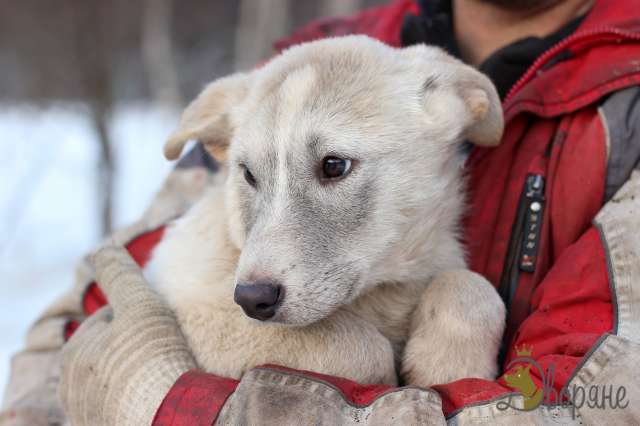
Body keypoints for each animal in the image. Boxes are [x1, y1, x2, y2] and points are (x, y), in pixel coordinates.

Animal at [144, 35, 504, 388]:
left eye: (334, 165)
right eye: (248, 175)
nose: (252, 298)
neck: (381, 294)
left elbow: (471, 285)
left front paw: (450, 365)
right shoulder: (193, 298)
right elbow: (359, 348)